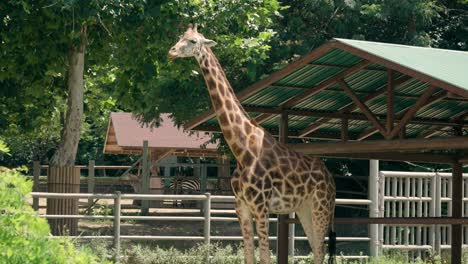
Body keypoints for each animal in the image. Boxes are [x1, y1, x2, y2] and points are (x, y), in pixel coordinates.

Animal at [168, 23, 336, 262]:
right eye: (181, 36)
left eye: (193, 41)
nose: (171, 51)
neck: (241, 150)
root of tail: (331, 179)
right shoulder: (241, 207)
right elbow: (248, 254)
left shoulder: (261, 206)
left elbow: (265, 256)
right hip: (304, 208)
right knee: (316, 248)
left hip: (321, 206)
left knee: (321, 249)